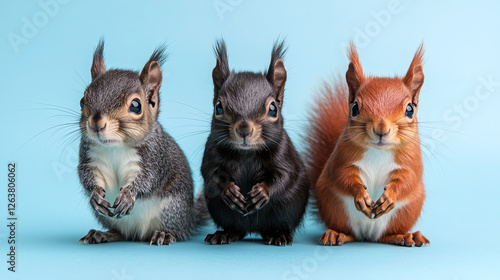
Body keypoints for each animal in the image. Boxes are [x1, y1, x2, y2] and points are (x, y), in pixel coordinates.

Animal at [78, 39, 207, 245]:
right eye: (83, 101)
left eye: (136, 106)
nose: (96, 124)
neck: (114, 147)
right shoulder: (89, 156)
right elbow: (85, 175)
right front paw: (95, 195)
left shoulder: (155, 157)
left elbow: (149, 180)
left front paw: (128, 195)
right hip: (110, 219)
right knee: (121, 233)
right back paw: (102, 234)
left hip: (172, 210)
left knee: (177, 231)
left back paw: (165, 234)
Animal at [201, 38, 310, 245]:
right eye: (218, 107)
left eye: (273, 109)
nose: (244, 130)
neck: (246, 154)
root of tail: (254, 230)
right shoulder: (211, 152)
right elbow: (211, 173)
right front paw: (228, 190)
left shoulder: (284, 154)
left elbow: (284, 176)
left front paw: (262, 192)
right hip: (220, 210)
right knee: (237, 229)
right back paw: (225, 234)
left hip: (287, 209)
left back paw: (278, 234)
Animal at [306, 42, 432, 246]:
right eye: (354, 107)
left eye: (410, 109)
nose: (381, 130)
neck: (378, 151)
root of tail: (368, 235)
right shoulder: (342, 158)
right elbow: (342, 176)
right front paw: (360, 195)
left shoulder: (410, 161)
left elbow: (408, 179)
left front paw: (390, 196)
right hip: (336, 208)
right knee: (350, 233)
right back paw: (336, 234)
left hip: (405, 213)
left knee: (386, 236)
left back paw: (405, 236)